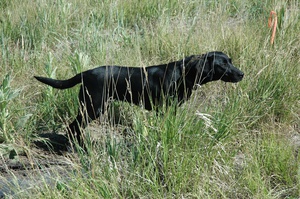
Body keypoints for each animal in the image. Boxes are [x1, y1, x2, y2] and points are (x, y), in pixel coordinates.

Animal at [34, 51, 244, 143]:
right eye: (223, 64)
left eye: (230, 61)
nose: (242, 74)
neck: (184, 73)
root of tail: (85, 73)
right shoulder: (164, 109)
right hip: (93, 107)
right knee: (73, 128)